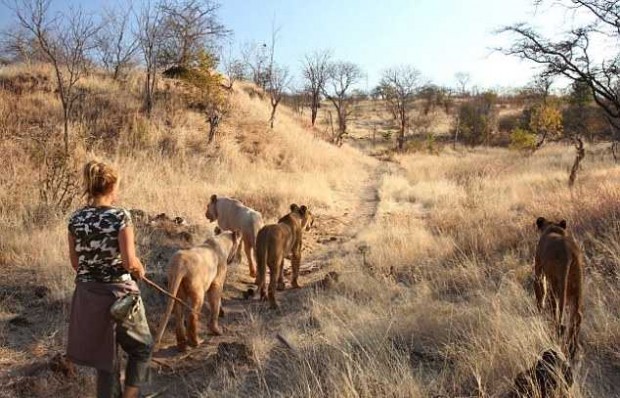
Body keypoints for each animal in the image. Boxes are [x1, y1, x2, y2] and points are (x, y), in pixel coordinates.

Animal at [536, 218, 584, 360]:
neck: (553, 228)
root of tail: (568, 253)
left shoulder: (538, 267)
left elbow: (540, 291)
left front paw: (538, 311)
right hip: (576, 286)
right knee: (577, 316)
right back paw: (572, 349)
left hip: (556, 284)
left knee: (556, 312)